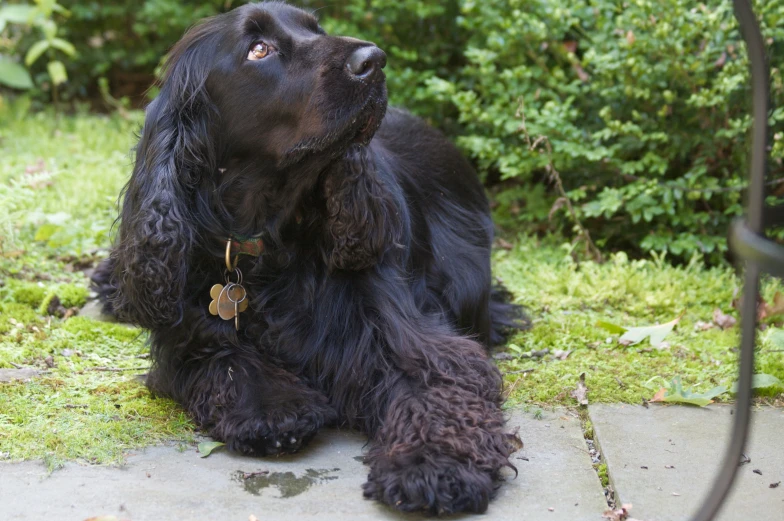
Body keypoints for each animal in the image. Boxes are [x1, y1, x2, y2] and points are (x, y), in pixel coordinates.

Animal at [92, 0, 524, 512]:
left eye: (316, 28)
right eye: (259, 49)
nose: (373, 60)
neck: (268, 238)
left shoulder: (408, 336)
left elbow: (438, 390)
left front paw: (433, 464)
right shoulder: (189, 333)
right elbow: (227, 360)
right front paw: (274, 408)